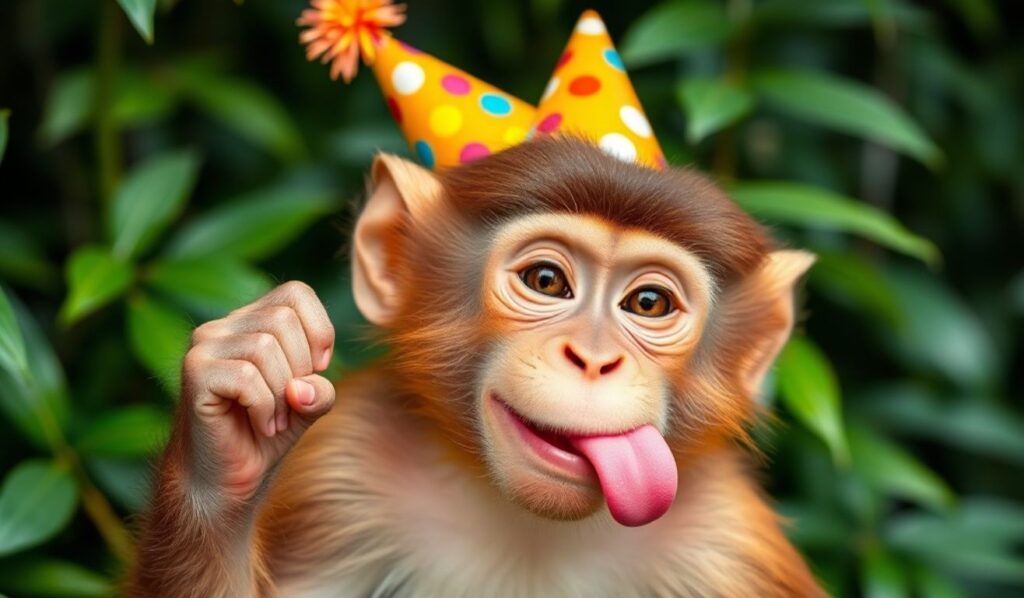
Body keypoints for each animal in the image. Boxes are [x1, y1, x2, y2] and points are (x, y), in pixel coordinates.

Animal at [127, 136, 824, 597]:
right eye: (546, 280)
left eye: (648, 303)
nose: (594, 359)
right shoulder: (342, 482)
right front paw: (226, 447)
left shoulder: (729, 551)